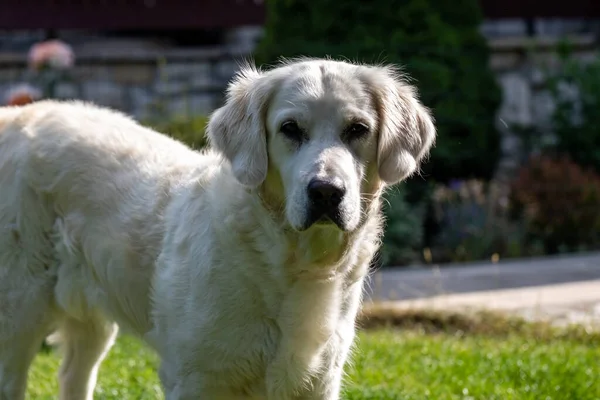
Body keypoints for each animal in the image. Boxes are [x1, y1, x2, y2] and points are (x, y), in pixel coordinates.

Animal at [0, 57, 436, 398]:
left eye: (357, 129)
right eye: (290, 129)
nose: (326, 191)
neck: (291, 264)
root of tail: (16, 115)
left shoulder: (317, 381)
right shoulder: (195, 379)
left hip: (91, 319)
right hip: (19, 312)